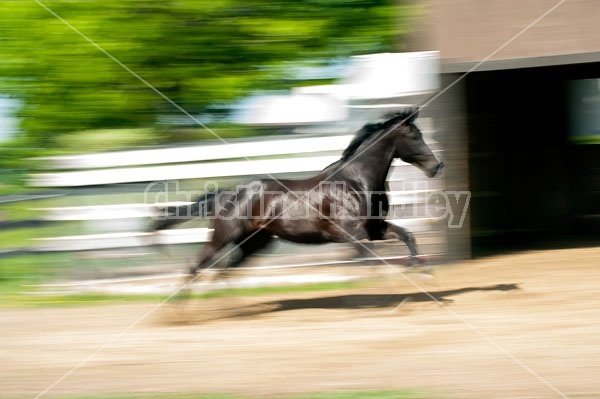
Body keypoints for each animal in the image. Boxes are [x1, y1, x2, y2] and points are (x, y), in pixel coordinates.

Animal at [154, 107, 446, 278]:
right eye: (415, 136)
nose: (437, 166)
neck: (355, 183)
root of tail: (227, 194)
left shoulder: (375, 228)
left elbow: (407, 235)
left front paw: (419, 267)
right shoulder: (352, 234)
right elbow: (372, 263)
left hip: (255, 242)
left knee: (224, 272)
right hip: (224, 236)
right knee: (197, 266)